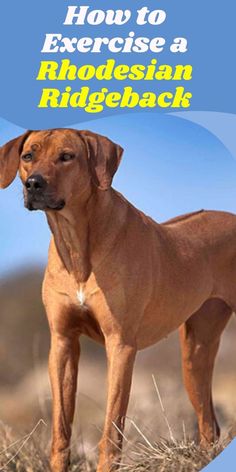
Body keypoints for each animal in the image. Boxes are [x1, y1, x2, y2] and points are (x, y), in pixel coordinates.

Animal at [0, 127, 234, 470]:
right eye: (28, 155)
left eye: (67, 156)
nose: (33, 183)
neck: (76, 244)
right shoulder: (62, 342)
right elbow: (61, 430)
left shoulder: (120, 345)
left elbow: (111, 431)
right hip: (195, 353)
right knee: (208, 425)